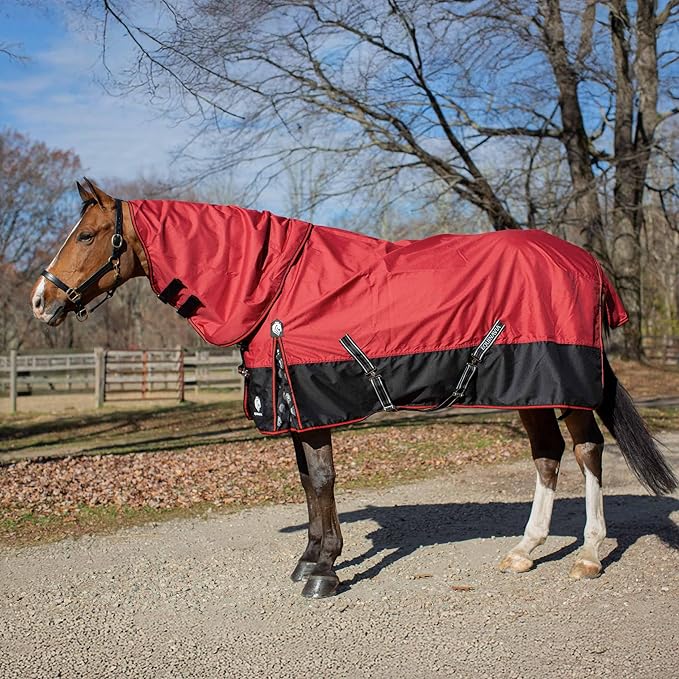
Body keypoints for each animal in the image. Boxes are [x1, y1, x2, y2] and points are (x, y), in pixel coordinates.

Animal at [31, 179, 677, 598]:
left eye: (88, 234)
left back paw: (589, 555)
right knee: (547, 456)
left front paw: (323, 572)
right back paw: (524, 551)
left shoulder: (311, 401)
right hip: (528, 388)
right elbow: (307, 482)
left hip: (564, 384)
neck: (276, 283)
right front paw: (310, 558)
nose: (40, 301)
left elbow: (320, 479)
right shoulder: (294, 403)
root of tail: (586, 262)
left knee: (588, 451)